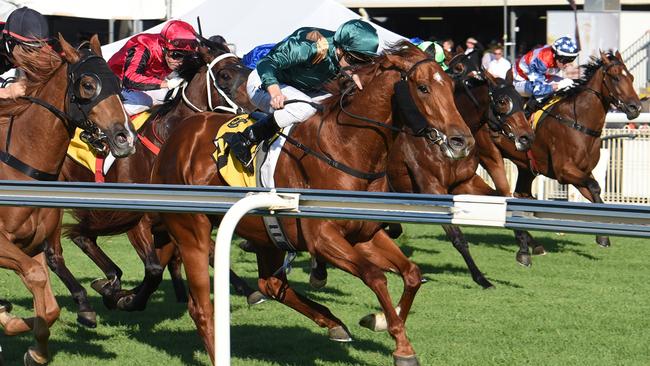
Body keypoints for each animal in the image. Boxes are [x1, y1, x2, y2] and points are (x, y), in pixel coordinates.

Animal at [0, 35, 134, 364]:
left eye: (117, 83)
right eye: (88, 85)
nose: (125, 137)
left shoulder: (32, 244)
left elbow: (48, 307)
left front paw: (35, 349)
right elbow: (37, 277)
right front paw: (13, 322)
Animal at [41, 41, 256, 328]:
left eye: (246, 68)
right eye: (225, 75)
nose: (258, 110)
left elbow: (205, 253)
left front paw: (250, 289)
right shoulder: (138, 220)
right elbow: (154, 270)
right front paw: (124, 298)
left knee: (84, 238)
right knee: (56, 250)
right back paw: (87, 303)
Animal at [149, 41, 468, 364]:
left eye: (452, 85)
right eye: (423, 87)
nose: (461, 141)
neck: (346, 146)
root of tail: (176, 136)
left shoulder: (365, 234)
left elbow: (412, 273)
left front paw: (382, 322)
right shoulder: (322, 238)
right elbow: (375, 276)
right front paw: (401, 345)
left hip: (267, 233)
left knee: (271, 284)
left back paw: (334, 323)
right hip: (192, 232)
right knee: (201, 306)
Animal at [476, 50, 636, 266]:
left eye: (632, 78)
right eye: (616, 78)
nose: (636, 107)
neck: (578, 122)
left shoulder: (582, 172)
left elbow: (595, 194)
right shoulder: (564, 171)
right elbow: (595, 187)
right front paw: (602, 237)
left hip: (527, 167)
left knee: (521, 195)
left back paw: (532, 245)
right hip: (490, 155)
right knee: (505, 194)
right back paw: (524, 248)